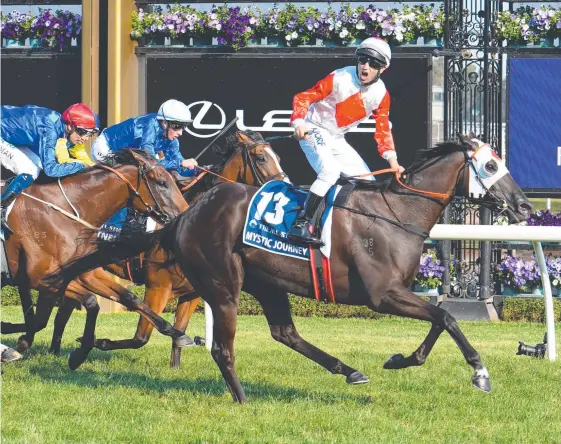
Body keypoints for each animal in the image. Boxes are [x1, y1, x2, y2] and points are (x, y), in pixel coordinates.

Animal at [0, 149, 190, 368]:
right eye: (162, 182)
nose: (184, 214)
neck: (66, 213)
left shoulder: (71, 276)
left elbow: (128, 298)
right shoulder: (40, 280)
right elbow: (89, 303)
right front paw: (79, 352)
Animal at [30, 130, 284, 366]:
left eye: (278, 157)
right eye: (261, 157)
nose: (283, 189)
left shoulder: (192, 294)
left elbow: (178, 335)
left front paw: (175, 367)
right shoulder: (157, 287)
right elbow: (141, 337)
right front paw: (98, 342)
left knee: (63, 311)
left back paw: (54, 350)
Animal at [50, 136, 532, 402]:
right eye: (491, 165)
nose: (525, 206)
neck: (395, 214)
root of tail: (184, 215)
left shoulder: (398, 292)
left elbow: (440, 318)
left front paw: (401, 359)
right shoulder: (382, 294)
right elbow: (447, 317)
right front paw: (480, 373)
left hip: (267, 282)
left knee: (285, 333)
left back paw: (348, 370)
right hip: (224, 284)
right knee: (222, 348)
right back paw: (242, 399)